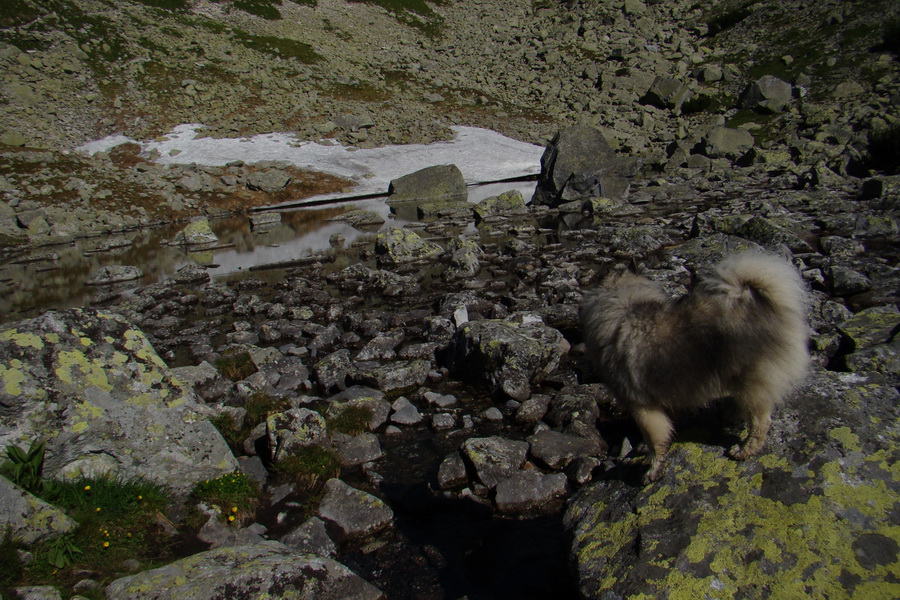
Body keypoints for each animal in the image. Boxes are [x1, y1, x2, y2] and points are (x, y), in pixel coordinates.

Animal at [580, 252, 812, 482]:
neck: (621, 296)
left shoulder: (640, 405)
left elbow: (654, 437)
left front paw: (653, 470)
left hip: (753, 379)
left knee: (760, 421)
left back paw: (744, 450)